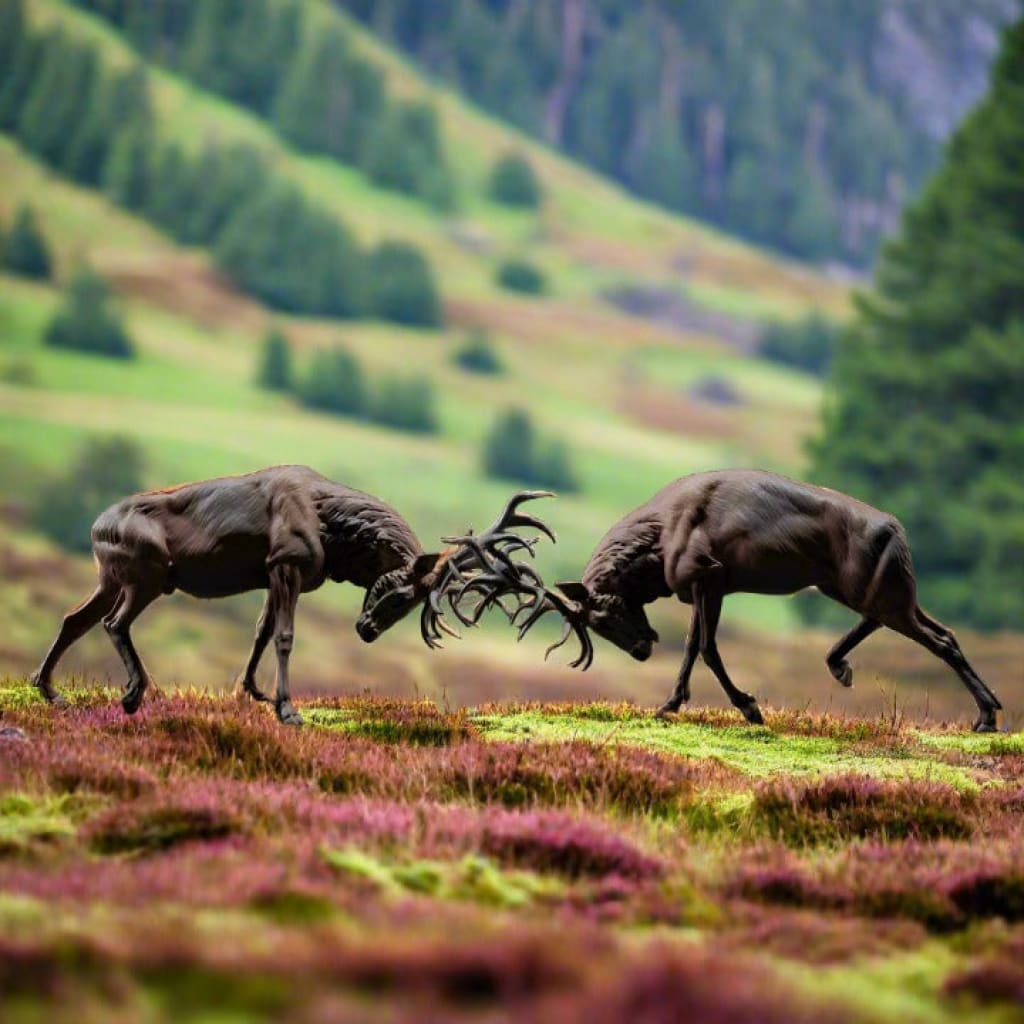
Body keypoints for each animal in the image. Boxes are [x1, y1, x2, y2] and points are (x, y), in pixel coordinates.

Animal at [29, 465, 553, 725]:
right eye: (401, 594)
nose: (366, 630)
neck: (336, 531)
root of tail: (95, 528)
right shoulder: (287, 563)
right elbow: (284, 636)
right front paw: (287, 709)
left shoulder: (270, 573)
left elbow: (261, 631)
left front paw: (254, 691)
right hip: (147, 575)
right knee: (112, 623)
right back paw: (133, 694)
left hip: (110, 577)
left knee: (73, 618)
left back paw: (50, 690)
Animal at [494, 471, 1002, 732]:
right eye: (599, 623)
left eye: (608, 612)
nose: (640, 649)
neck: (657, 545)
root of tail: (898, 531)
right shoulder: (707, 587)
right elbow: (695, 647)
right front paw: (672, 703)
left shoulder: (707, 574)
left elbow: (705, 648)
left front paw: (749, 707)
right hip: (861, 586)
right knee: (938, 629)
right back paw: (842, 665)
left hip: (875, 589)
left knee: (935, 637)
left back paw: (986, 715)